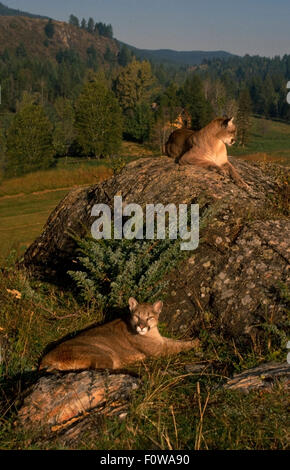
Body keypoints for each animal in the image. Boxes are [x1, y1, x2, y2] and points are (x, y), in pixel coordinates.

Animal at [39, 300, 199, 372]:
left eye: (149, 318)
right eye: (137, 316)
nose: (141, 326)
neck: (152, 332)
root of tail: (45, 360)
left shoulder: (160, 342)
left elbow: (175, 341)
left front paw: (192, 340)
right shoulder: (159, 349)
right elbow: (177, 346)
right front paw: (197, 341)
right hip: (102, 354)